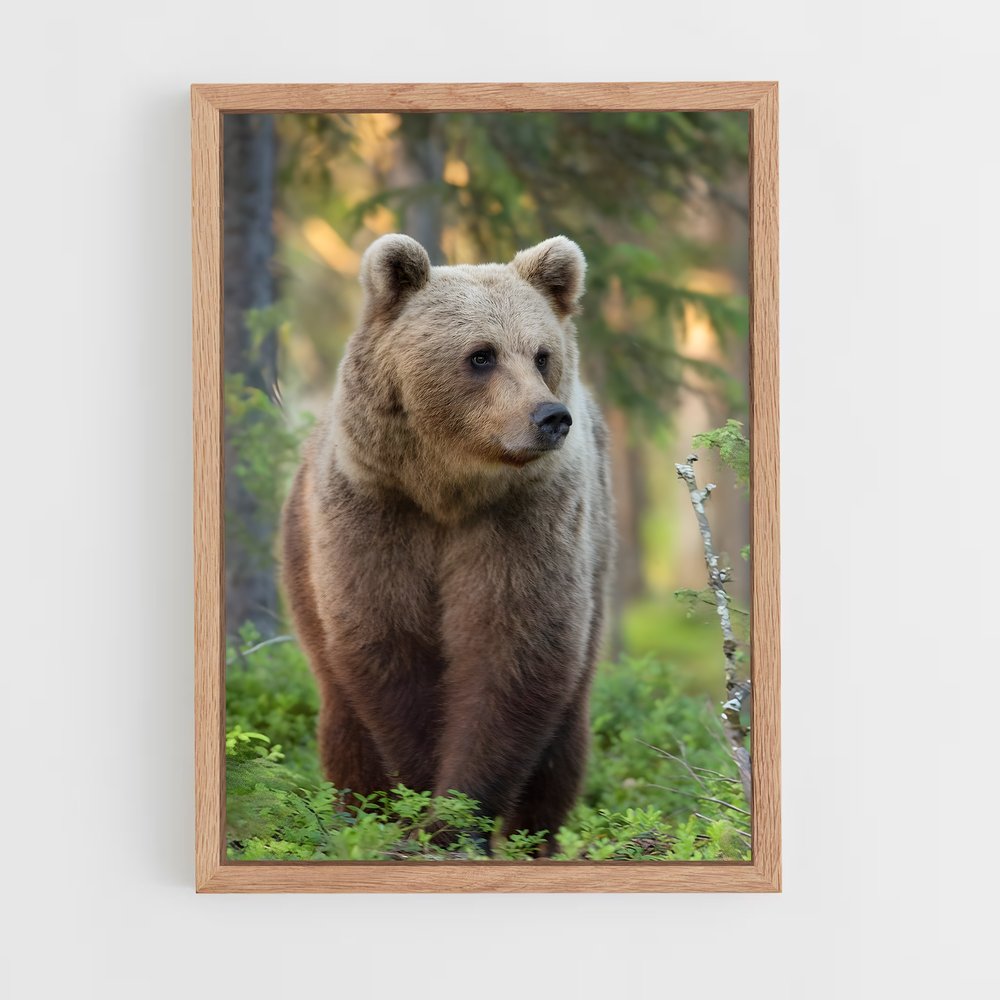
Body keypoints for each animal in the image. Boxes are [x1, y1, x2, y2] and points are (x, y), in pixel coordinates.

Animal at [280, 233, 614, 852]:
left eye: (541, 354)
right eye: (481, 355)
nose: (550, 417)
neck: (447, 492)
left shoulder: (524, 520)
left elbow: (511, 651)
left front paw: (456, 818)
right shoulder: (376, 512)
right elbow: (389, 644)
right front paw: (419, 798)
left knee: (564, 739)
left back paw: (537, 841)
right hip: (301, 566)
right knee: (343, 722)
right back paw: (357, 816)